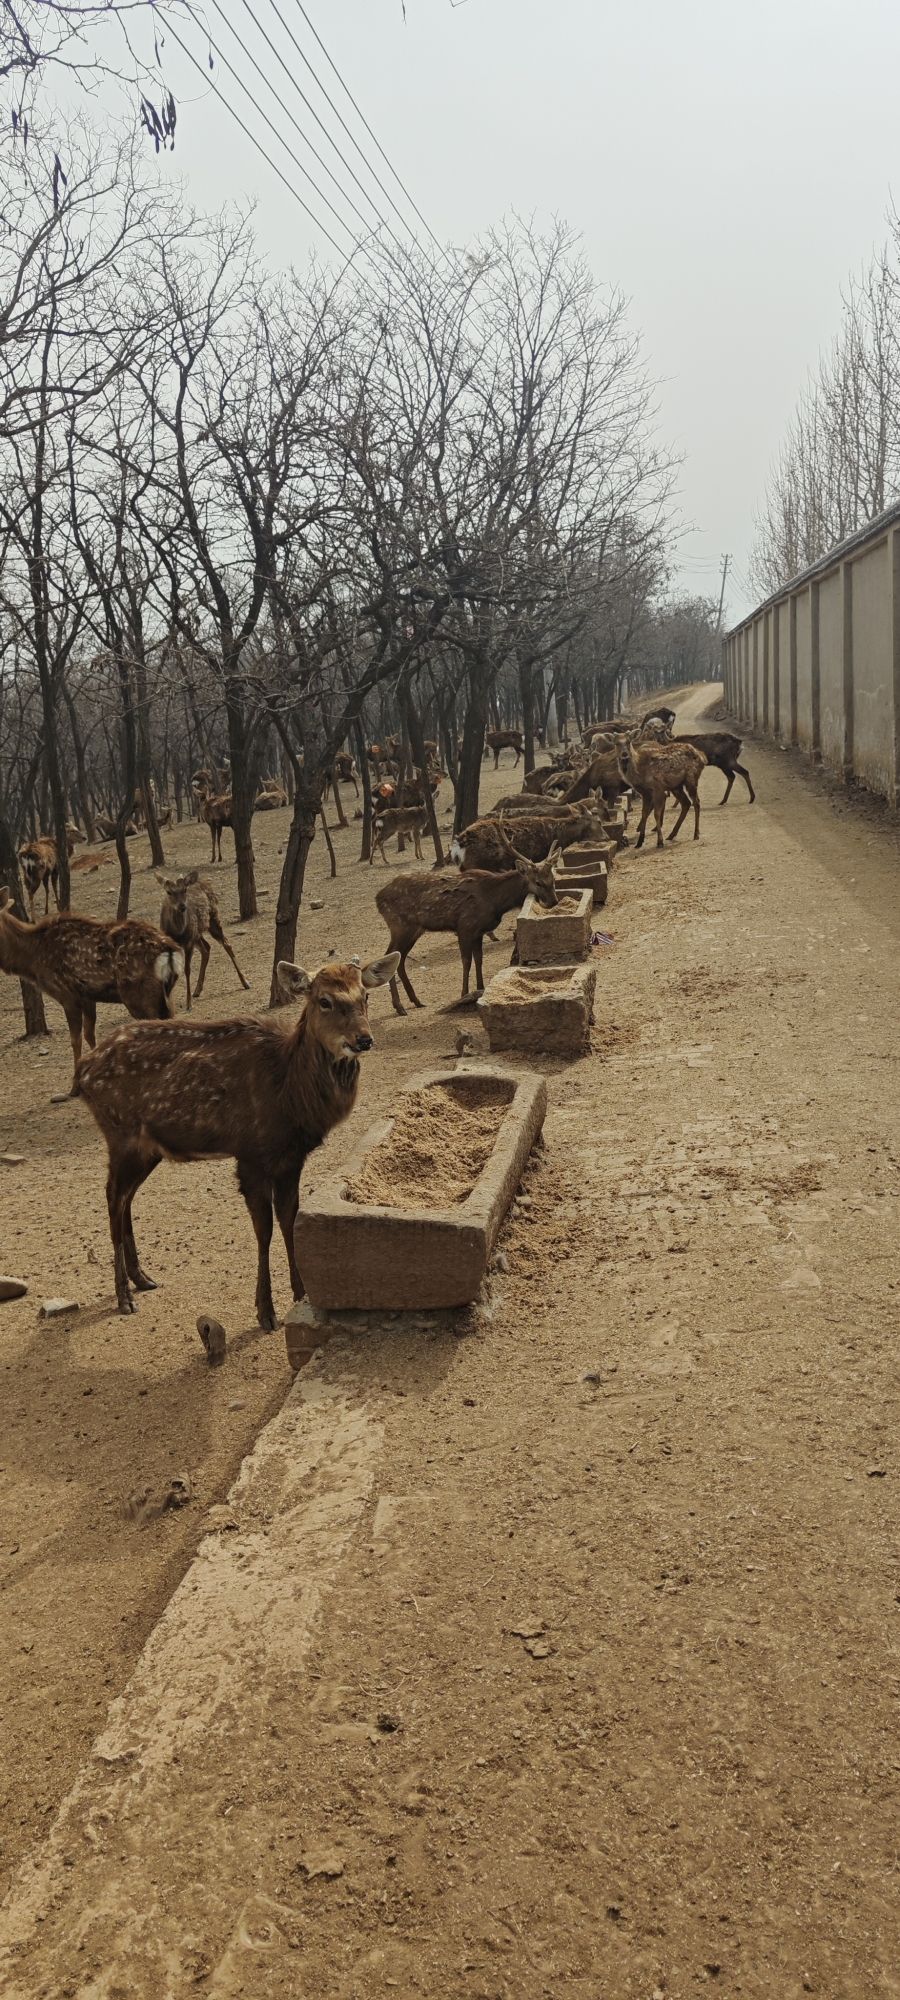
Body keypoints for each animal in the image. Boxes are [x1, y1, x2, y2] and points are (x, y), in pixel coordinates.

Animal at [0, 887, 183, 1089]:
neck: (33, 961)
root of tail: (170, 951)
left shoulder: (67, 993)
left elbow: (76, 1039)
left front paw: (74, 1085)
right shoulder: (87, 995)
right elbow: (90, 1034)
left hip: (139, 994)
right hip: (166, 993)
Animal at [77, 952, 399, 1323]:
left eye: (365, 996)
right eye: (325, 1000)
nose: (363, 1039)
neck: (291, 1092)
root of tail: (81, 1072)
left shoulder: (291, 1159)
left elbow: (289, 1219)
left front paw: (300, 1291)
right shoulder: (251, 1154)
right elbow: (264, 1230)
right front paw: (266, 1311)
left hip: (147, 1148)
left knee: (126, 1198)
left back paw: (142, 1278)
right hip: (121, 1134)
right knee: (113, 1198)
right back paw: (124, 1296)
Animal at [158, 870, 250, 1010]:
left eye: (184, 889)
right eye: (169, 892)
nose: (182, 906)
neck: (178, 932)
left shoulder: (189, 942)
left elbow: (187, 969)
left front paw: (188, 1003)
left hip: (212, 918)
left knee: (226, 943)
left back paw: (245, 982)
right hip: (198, 933)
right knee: (206, 948)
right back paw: (197, 990)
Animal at [375, 846, 560, 1016]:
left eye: (553, 879)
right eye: (538, 882)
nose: (554, 901)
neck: (495, 901)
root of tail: (378, 898)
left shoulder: (478, 931)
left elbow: (478, 959)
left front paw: (480, 989)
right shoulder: (465, 926)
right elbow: (466, 961)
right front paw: (464, 994)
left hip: (415, 929)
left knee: (400, 958)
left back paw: (416, 1000)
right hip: (400, 925)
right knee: (390, 954)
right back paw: (400, 1006)